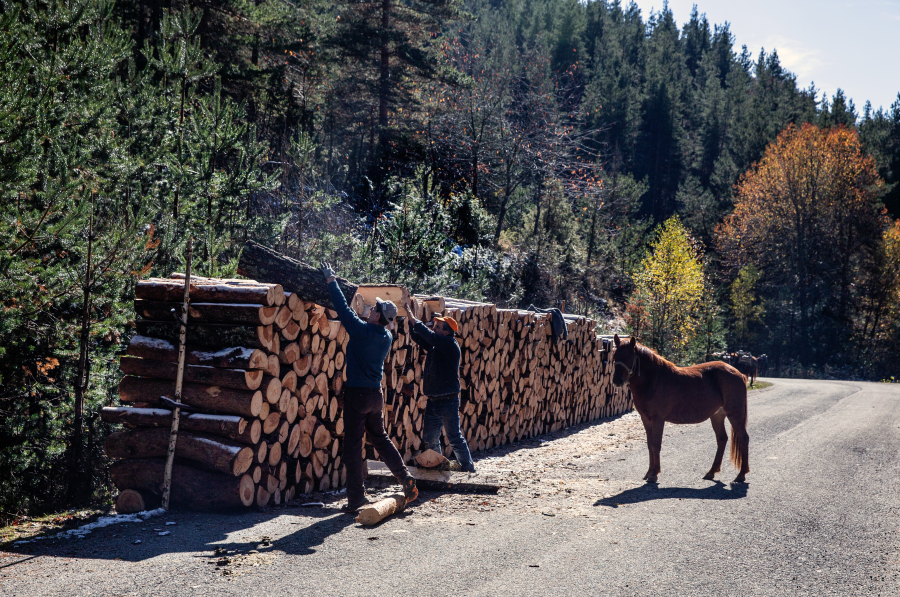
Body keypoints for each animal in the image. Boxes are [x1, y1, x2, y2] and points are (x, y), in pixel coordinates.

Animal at [612, 336, 752, 484]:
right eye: (615, 356)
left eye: (629, 356)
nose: (617, 381)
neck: (654, 380)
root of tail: (740, 374)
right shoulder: (645, 419)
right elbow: (650, 445)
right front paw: (649, 472)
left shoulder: (658, 419)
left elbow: (656, 444)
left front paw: (654, 474)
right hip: (717, 416)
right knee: (722, 439)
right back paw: (711, 472)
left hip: (735, 414)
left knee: (743, 438)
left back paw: (741, 474)